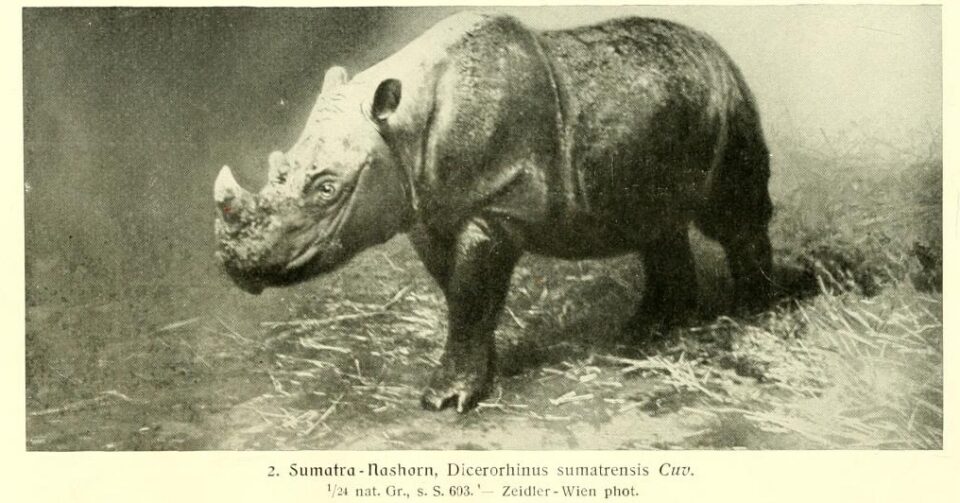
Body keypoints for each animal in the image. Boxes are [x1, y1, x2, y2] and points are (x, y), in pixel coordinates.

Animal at [214, 12, 774, 412]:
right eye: (281, 168)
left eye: (328, 188)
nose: (238, 268)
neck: (403, 128)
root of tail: (716, 50)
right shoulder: (429, 211)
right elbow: (460, 292)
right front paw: (484, 369)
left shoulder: (494, 204)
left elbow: (469, 292)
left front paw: (443, 401)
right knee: (657, 224)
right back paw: (647, 331)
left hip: (728, 101)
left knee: (730, 218)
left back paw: (751, 314)